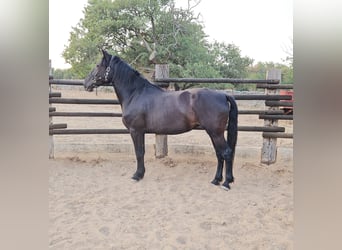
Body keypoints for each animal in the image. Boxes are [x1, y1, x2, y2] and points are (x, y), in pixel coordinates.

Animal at [84, 49, 238, 189]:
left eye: (98, 65)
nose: (86, 83)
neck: (135, 94)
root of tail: (223, 95)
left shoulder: (136, 131)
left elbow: (139, 152)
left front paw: (137, 175)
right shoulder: (140, 132)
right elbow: (141, 152)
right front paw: (141, 174)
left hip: (216, 133)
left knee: (226, 153)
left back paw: (226, 183)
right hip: (213, 133)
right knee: (219, 154)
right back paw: (216, 180)